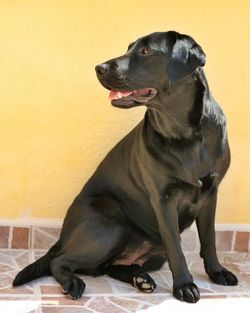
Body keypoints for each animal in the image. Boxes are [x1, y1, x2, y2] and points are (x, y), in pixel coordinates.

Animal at [12, 31, 237, 302]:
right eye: (129, 48)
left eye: (145, 51)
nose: (98, 68)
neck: (184, 133)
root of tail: (64, 236)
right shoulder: (163, 200)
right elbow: (177, 247)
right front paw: (184, 285)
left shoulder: (211, 192)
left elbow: (210, 239)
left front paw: (217, 272)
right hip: (113, 225)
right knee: (61, 261)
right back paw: (74, 283)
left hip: (149, 252)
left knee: (109, 266)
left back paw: (141, 279)